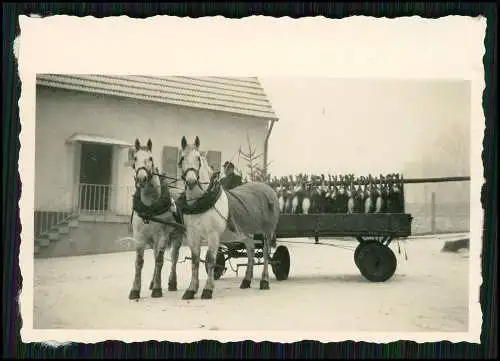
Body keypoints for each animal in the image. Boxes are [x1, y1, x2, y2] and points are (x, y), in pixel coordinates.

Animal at [129, 138, 184, 298]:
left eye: (151, 158)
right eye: (135, 158)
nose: (141, 178)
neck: (149, 208)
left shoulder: (163, 235)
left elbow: (160, 260)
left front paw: (157, 289)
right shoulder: (139, 236)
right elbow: (139, 262)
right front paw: (135, 290)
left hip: (177, 236)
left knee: (174, 257)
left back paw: (172, 282)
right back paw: (153, 282)